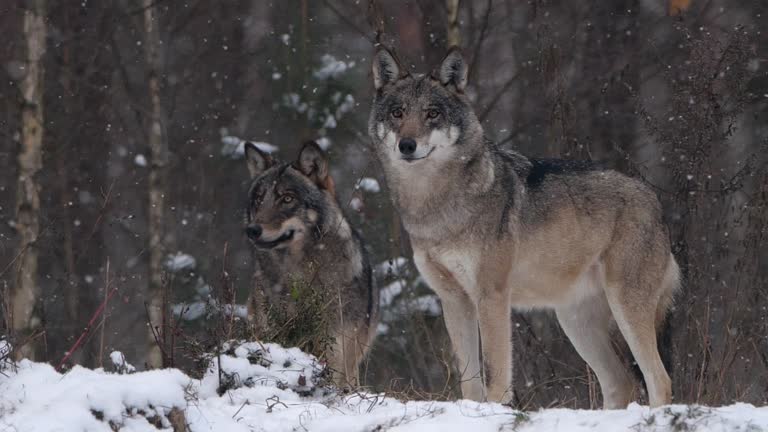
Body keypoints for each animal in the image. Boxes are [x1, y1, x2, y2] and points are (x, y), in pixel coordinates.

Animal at [368, 47, 680, 408]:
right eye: (398, 113)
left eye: (432, 114)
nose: (407, 145)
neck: (435, 207)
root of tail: (654, 199)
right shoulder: (453, 300)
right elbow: (469, 381)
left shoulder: (492, 296)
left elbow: (495, 374)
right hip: (575, 323)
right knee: (621, 383)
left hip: (625, 309)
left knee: (659, 380)